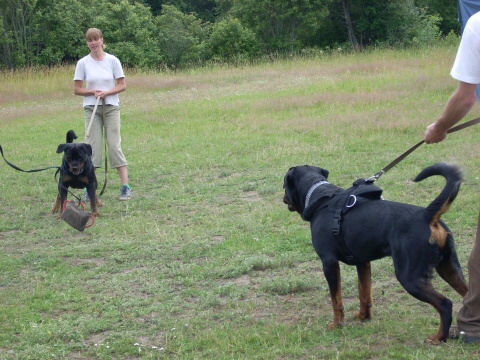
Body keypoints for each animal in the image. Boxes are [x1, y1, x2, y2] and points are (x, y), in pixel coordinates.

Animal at [284, 162, 466, 344]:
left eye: (284, 186)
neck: (319, 195)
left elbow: (336, 300)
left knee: (445, 304)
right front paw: (364, 316)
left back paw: (438, 337)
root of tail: (427, 215)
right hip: (450, 268)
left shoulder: (329, 262)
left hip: (410, 277)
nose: (283, 197)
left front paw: (337, 324)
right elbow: (364, 293)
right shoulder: (362, 261)